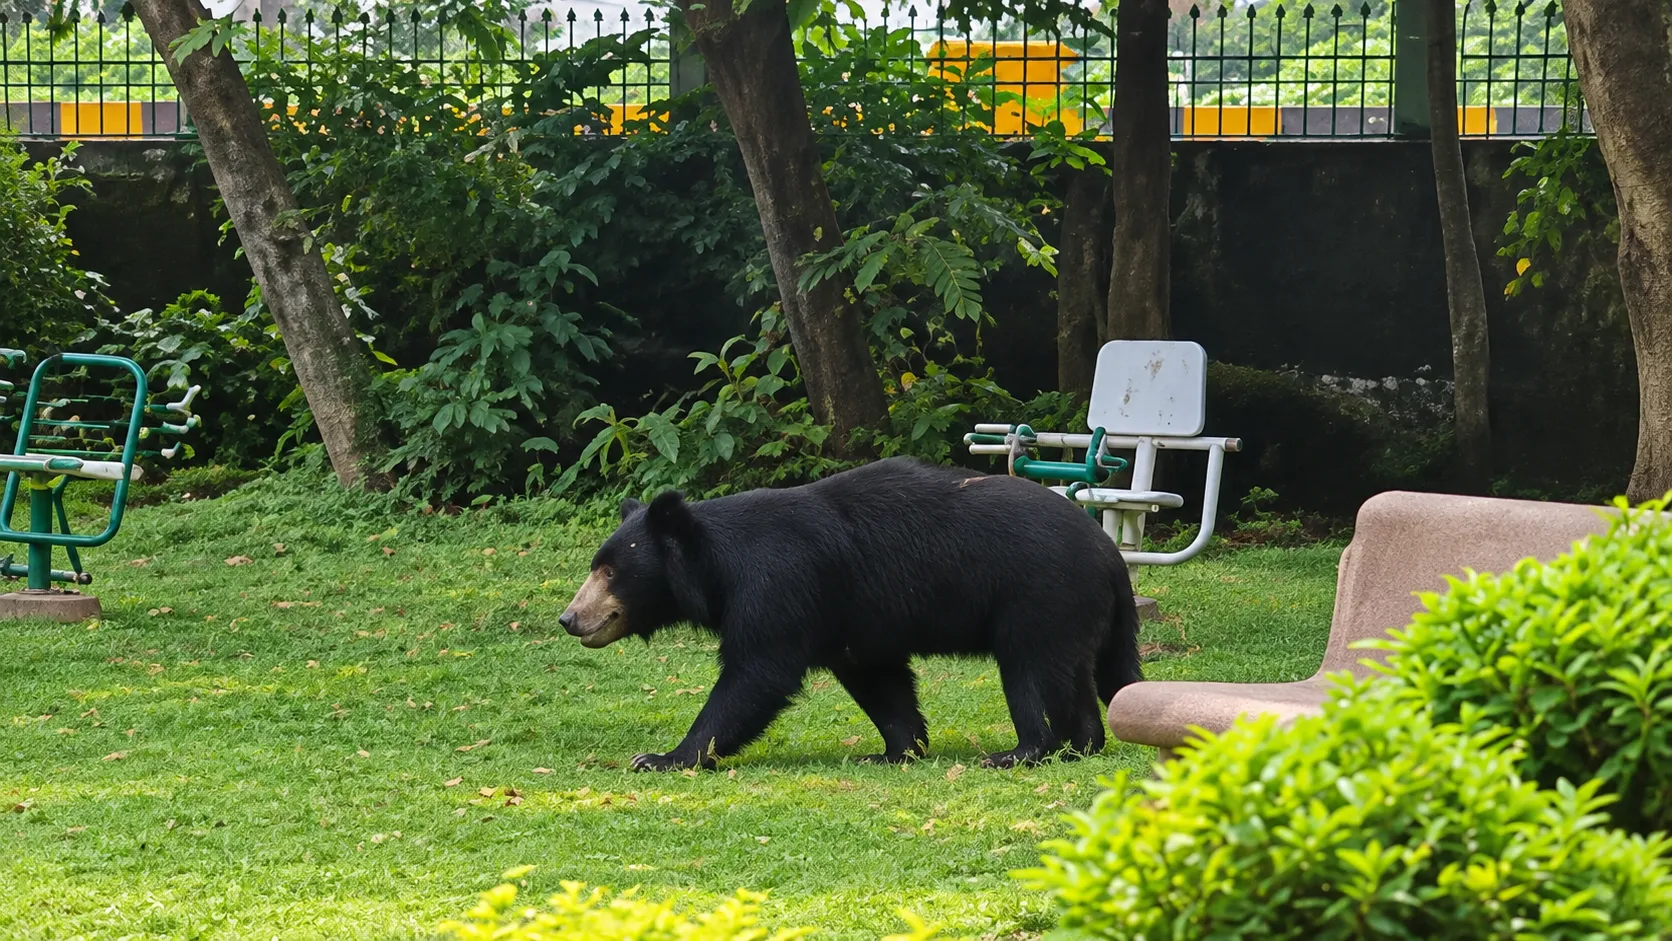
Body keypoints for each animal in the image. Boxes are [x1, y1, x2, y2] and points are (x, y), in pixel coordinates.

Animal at [558, 456, 1142, 771]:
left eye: (609, 572)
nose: (570, 619)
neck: (717, 568)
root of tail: (1110, 557)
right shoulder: (851, 615)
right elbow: (877, 676)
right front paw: (894, 750)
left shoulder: (780, 584)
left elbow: (756, 672)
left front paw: (664, 757)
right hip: (1078, 613)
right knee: (1082, 676)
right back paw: (1082, 744)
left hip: (1038, 596)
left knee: (1031, 671)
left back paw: (1022, 751)